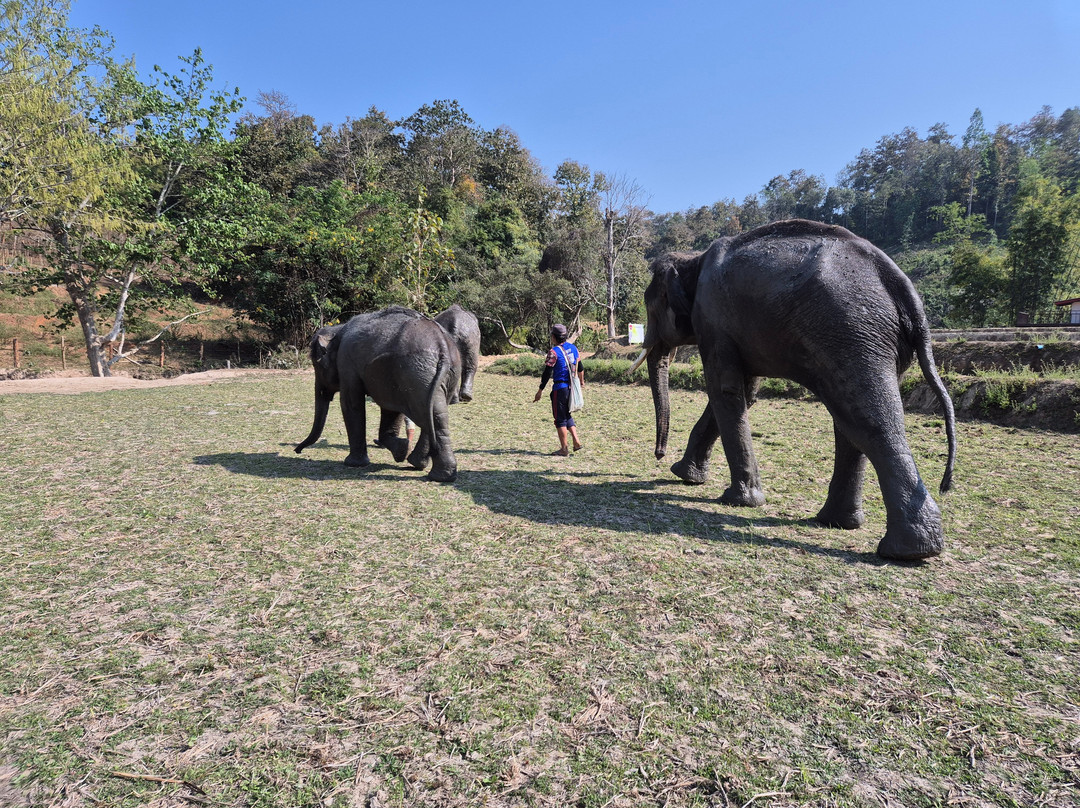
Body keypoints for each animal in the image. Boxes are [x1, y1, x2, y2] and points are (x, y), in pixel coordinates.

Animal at [294, 305, 462, 482]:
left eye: (316, 364)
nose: (297, 451)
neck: (338, 330)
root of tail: (442, 345)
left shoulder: (346, 363)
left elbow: (351, 403)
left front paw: (354, 464)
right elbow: (392, 409)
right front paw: (401, 449)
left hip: (417, 375)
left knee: (426, 414)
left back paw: (433, 473)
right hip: (440, 376)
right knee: (435, 416)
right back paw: (429, 469)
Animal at [629, 219, 957, 561]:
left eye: (651, 306)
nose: (658, 455)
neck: (692, 259)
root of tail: (902, 286)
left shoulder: (712, 319)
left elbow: (724, 390)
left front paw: (736, 500)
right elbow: (745, 392)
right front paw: (686, 476)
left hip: (850, 332)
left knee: (866, 419)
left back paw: (907, 551)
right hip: (868, 340)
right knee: (852, 417)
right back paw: (842, 525)